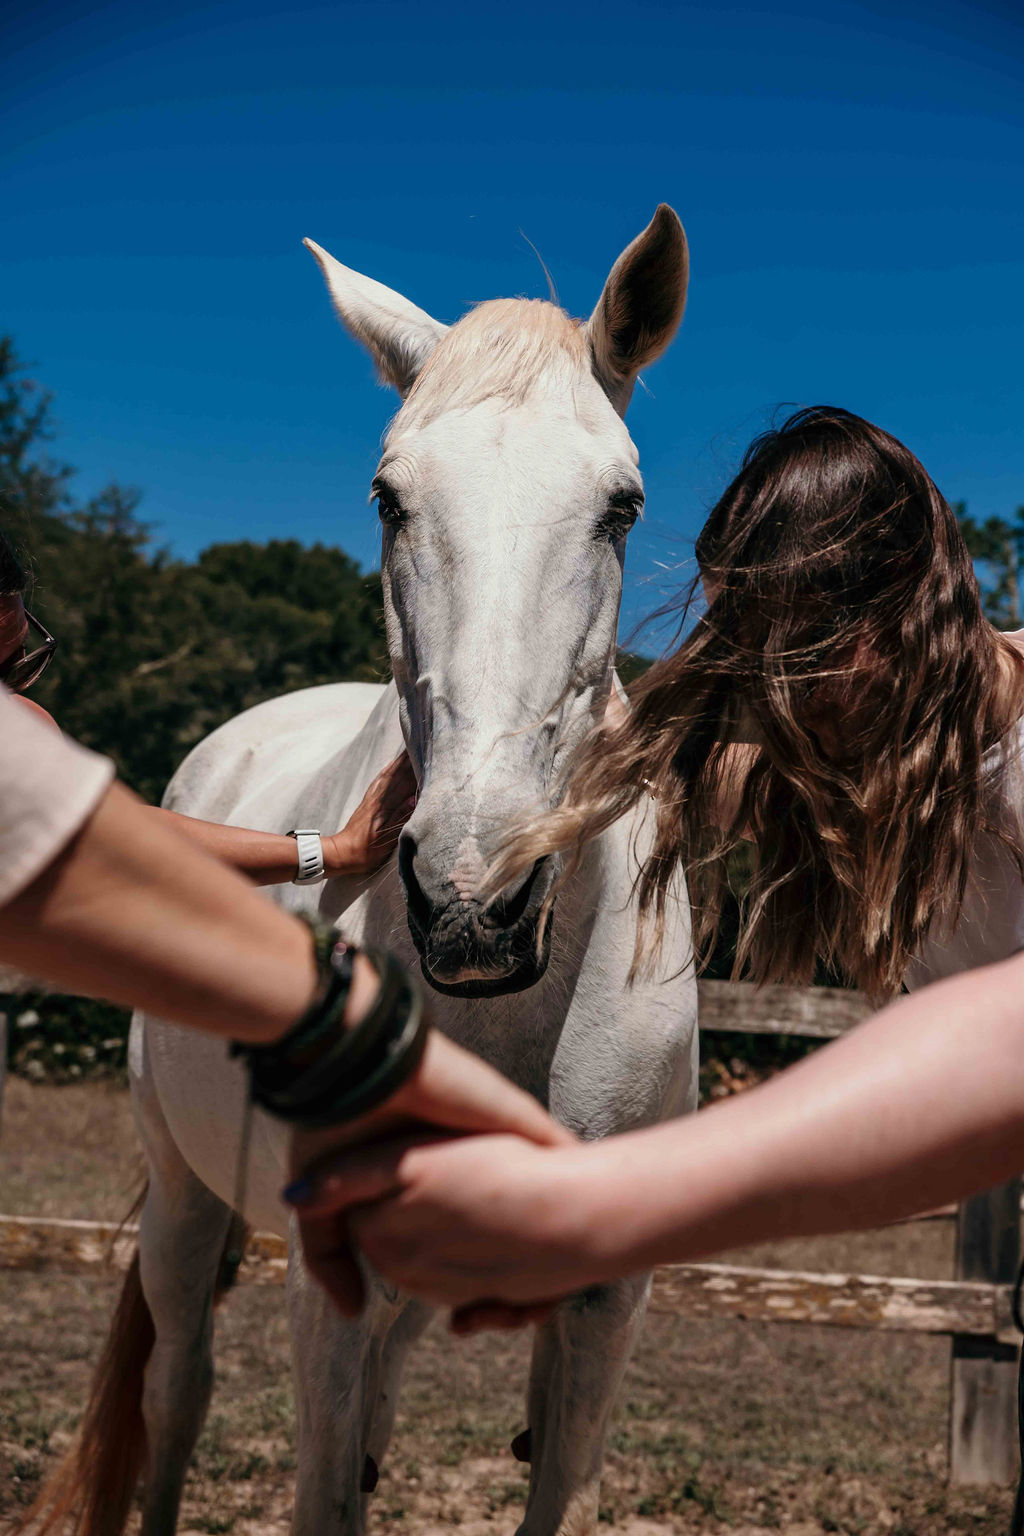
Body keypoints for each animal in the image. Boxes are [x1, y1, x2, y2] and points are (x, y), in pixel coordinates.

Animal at [32, 206, 699, 1536]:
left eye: (622, 506)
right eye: (389, 497)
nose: (474, 899)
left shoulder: (605, 1300)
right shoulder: (323, 1285)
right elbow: (319, 1494)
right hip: (185, 1204)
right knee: (177, 1391)